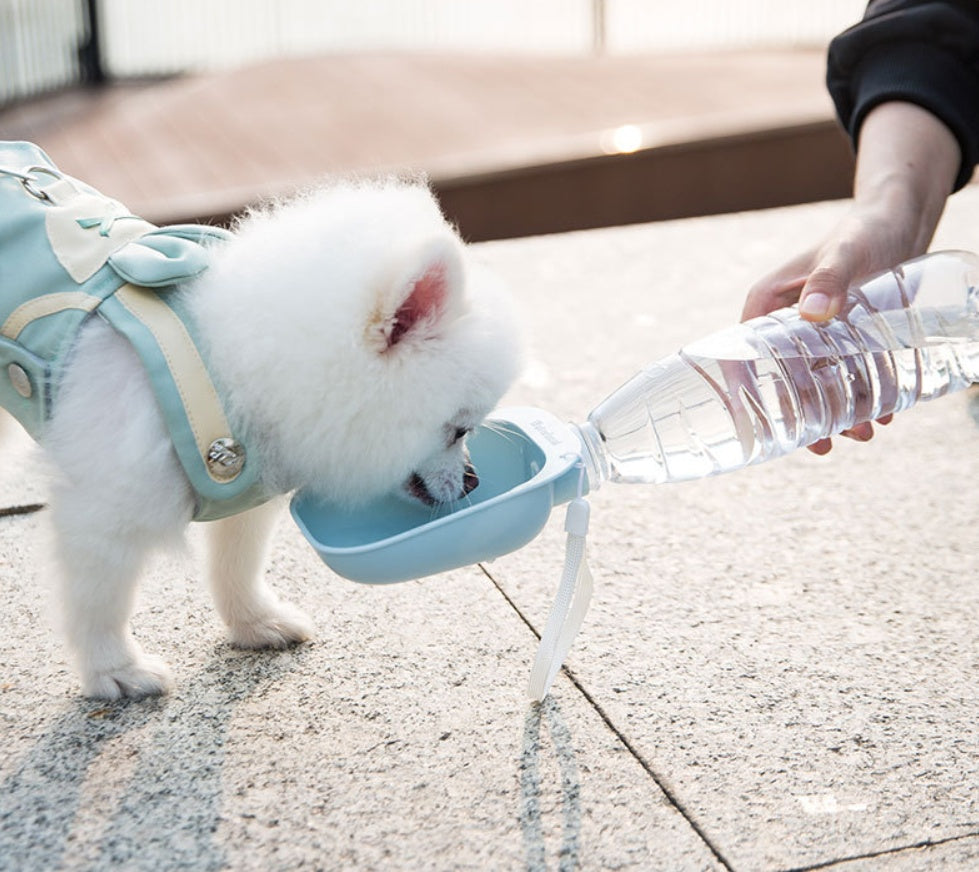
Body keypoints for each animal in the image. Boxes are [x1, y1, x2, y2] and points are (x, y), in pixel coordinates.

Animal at [24, 179, 520, 700]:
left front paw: (254, 623)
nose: (472, 482)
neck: (219, 370)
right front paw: (114, 669)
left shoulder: (243, 491)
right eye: (458, 430)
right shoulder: (104, 511)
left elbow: (235, 564)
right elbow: (98, 599)